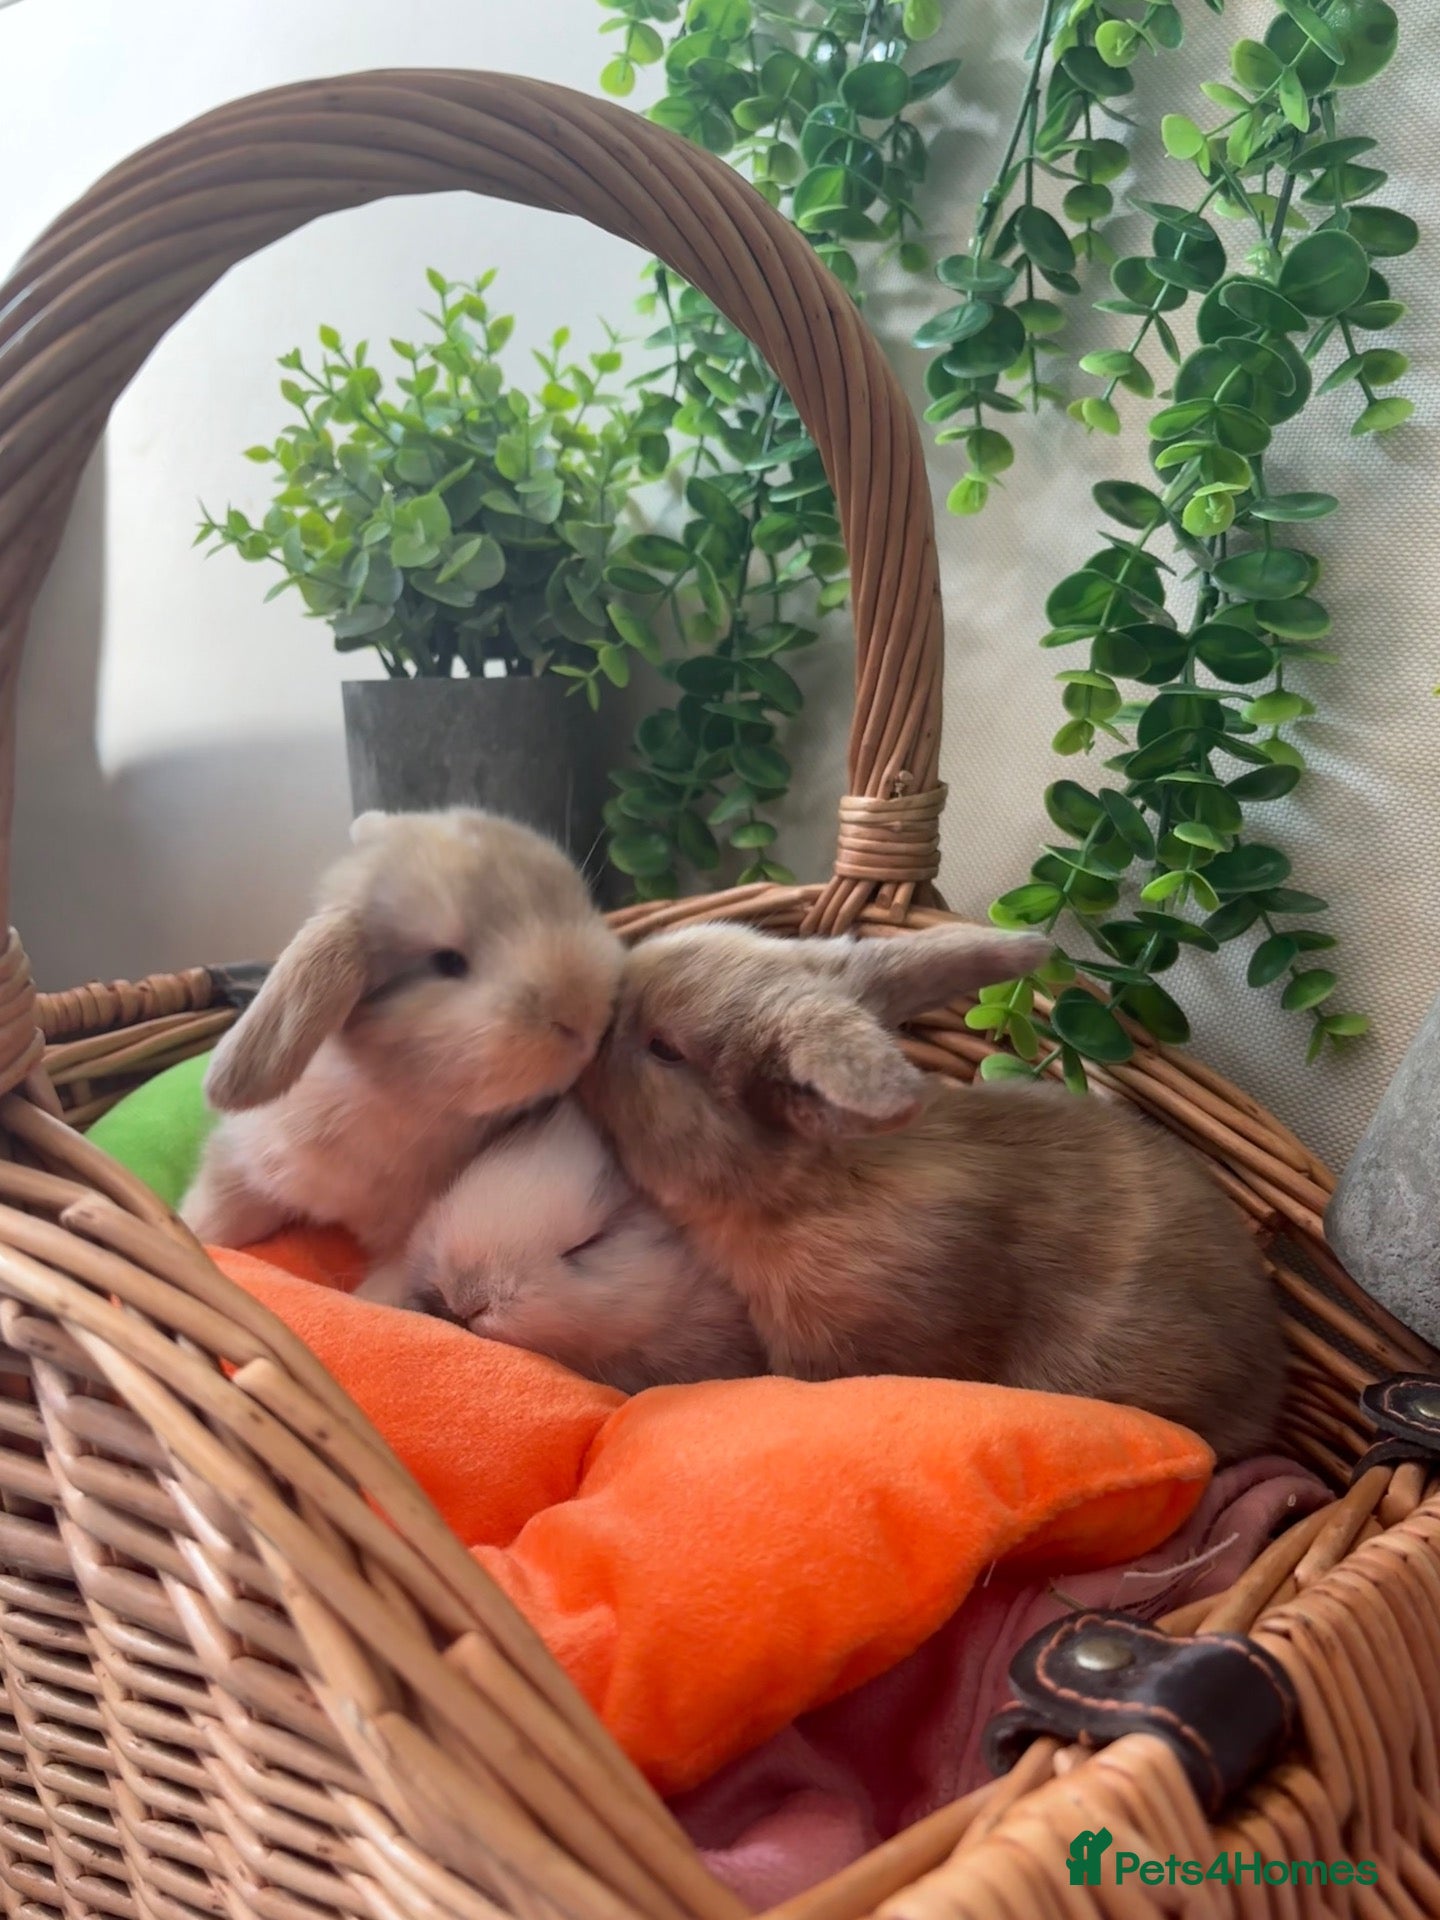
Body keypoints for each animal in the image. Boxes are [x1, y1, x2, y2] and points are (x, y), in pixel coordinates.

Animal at [179, 808, 621, 1260]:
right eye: (447, 961)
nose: (585, 1016)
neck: (396, 1099)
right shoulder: (244, 1159)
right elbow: (219, 1209)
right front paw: (195, 1235)